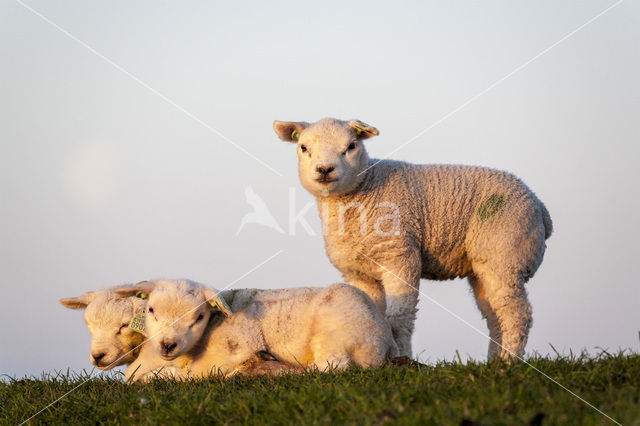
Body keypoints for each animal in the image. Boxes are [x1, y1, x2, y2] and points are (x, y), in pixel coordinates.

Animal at [112, 278, 398, 382]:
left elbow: (187, 376)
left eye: (199, 316)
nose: (168, 345)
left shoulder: (231, 349)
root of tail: (386, 340)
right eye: (151, 310)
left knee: (331, 366)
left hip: (335, 329)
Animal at [272, 118, 552, 362]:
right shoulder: (359, 272)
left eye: (351, 146)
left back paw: (510, 361)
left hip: (505, 251)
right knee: (495, 315)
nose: (325, 170)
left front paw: (402, 359)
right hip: (484, 266)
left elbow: (398, 317)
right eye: (303, 147)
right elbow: (373, 316)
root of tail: (540, 208)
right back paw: (494, 361)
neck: (360, 194)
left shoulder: (400, 256)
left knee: (517, 313)